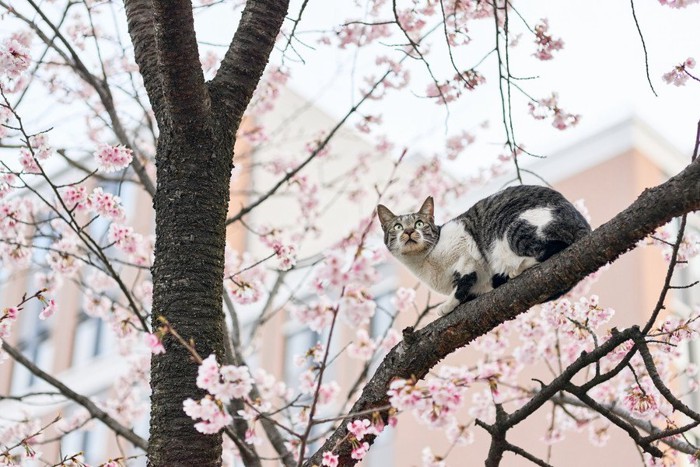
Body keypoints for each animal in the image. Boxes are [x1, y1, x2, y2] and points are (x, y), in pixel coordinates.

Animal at [378, 185, 592, 316]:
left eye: (419, 223)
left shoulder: (465, 247)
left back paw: (516, 269)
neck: (425, 263)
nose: (408, 231)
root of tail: (583, 225)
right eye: (397, 226)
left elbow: (464, 279)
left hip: (514, 227)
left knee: (552, 246)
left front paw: (448, 304)